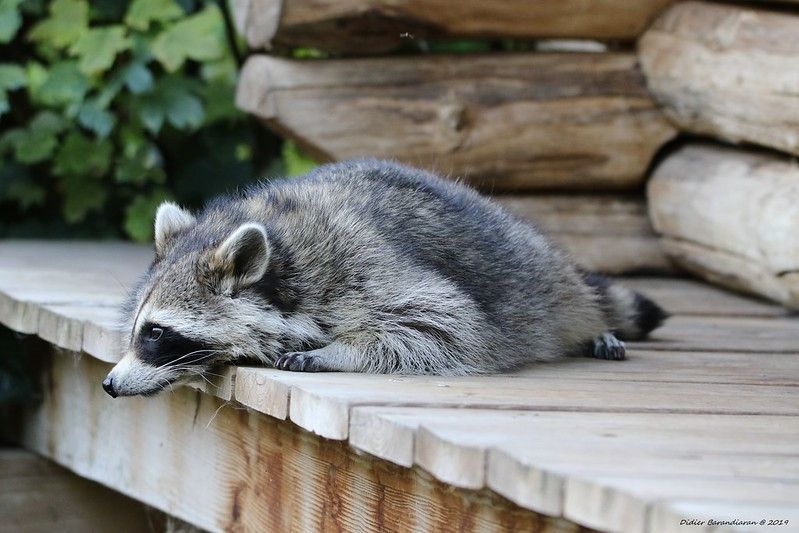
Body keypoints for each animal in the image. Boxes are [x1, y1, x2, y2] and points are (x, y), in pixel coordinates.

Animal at [102, 160, 667, 397]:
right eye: (138, 329)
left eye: (156, 333)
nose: (108, 383)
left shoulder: (365, 263)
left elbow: (445, 328)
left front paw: (336, 351)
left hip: (532, 264)